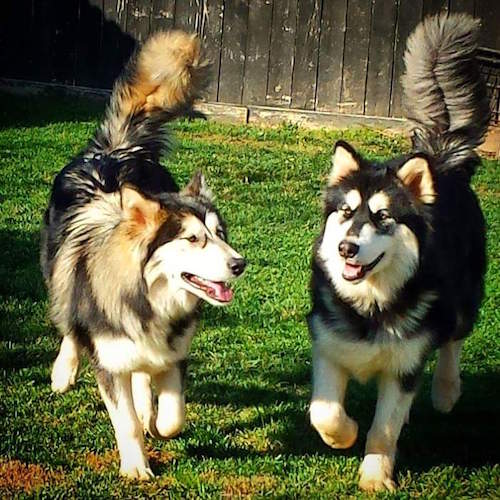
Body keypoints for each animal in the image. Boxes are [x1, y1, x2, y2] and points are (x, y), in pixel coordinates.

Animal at [41, 32, 246, 480]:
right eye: (193, 239)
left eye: (221, 235)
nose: (240, 264)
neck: (151, 301)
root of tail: (116, 149)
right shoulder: (109, 361)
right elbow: (126, 422)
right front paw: (136, 467)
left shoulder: (175, 354)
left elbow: (171, 418)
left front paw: (154, 419)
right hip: (57, 270)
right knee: (68, 323)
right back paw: (64, 371)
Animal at [306, 12, 490, 492]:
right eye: (346, 212)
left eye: (382, 216)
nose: (346, 247)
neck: (370, 306)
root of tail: (440, 159)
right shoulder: (328, 346)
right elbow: (324, 412)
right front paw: (343, 435)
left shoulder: (404, 366)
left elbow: (384, 426)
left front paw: (374, 475)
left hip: (463, 300)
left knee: (453, 338)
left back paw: (446, 391)